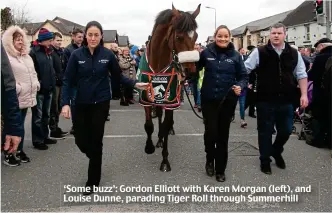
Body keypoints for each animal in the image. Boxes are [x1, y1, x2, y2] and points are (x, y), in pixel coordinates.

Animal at [139, 4, 200, 172]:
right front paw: (149, 147)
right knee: (158, 114)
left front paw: (165, 160)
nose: (191, 72)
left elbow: (166, 125)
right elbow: (149, 125)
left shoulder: (170, 99)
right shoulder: (146, 98)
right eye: (179, 37)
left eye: (196, 36)